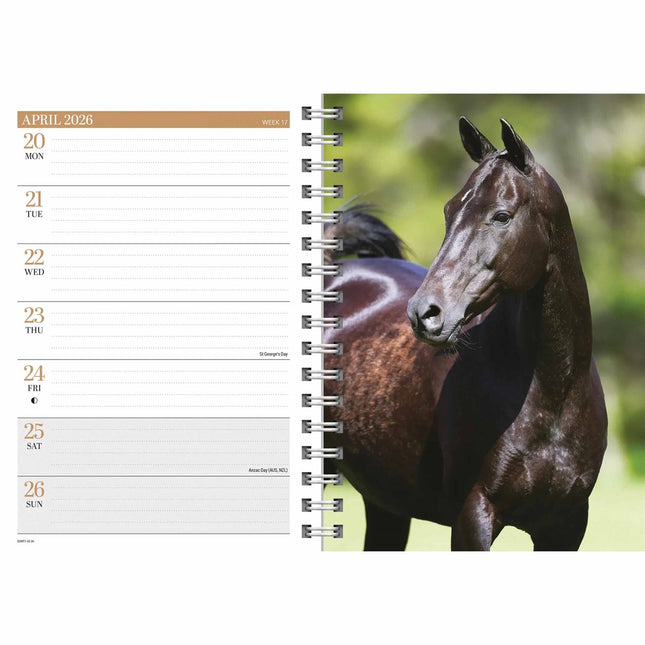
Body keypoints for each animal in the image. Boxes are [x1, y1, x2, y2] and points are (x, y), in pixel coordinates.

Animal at [323, 118, 607, 551]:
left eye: (502, 215)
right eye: (449, 210)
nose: (425, 313)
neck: (553, 394)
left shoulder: (566, 526)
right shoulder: (473, 517)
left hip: (386, 505)